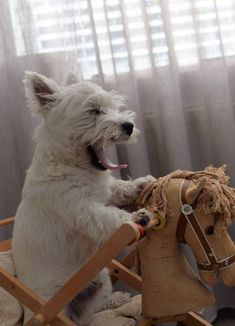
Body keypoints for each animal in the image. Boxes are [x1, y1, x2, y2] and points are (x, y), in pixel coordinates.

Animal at [11, 72, 153, 326]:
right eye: (94, 111)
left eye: (114, 107)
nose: (129, 126)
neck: (75, 167)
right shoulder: (79, 208)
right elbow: (108, 216)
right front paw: (137, 218)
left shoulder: (103, 191)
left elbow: (118, 187)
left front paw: (141, 183)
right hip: (54, 303)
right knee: (80, 319)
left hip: (102, 276)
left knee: (89, 312)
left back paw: (116, 300)